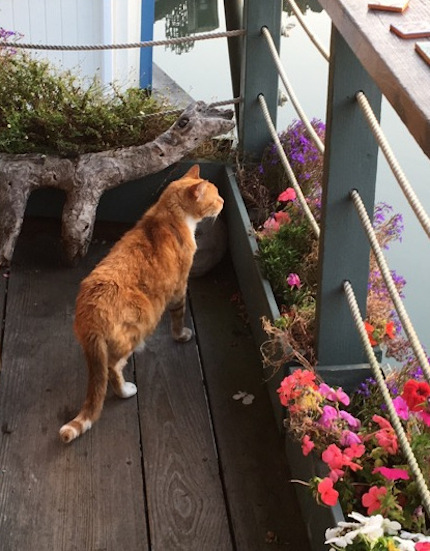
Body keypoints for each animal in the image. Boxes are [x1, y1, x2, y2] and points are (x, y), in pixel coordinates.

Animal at [58, 165, 223, 444]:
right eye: (215, 197)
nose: (223, 202)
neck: (167, 216)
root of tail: (91, 313)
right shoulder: (180, 287)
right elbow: (178, 316)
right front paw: (181, 335)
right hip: (139, 329)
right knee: (113, 368)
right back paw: (126, 390)